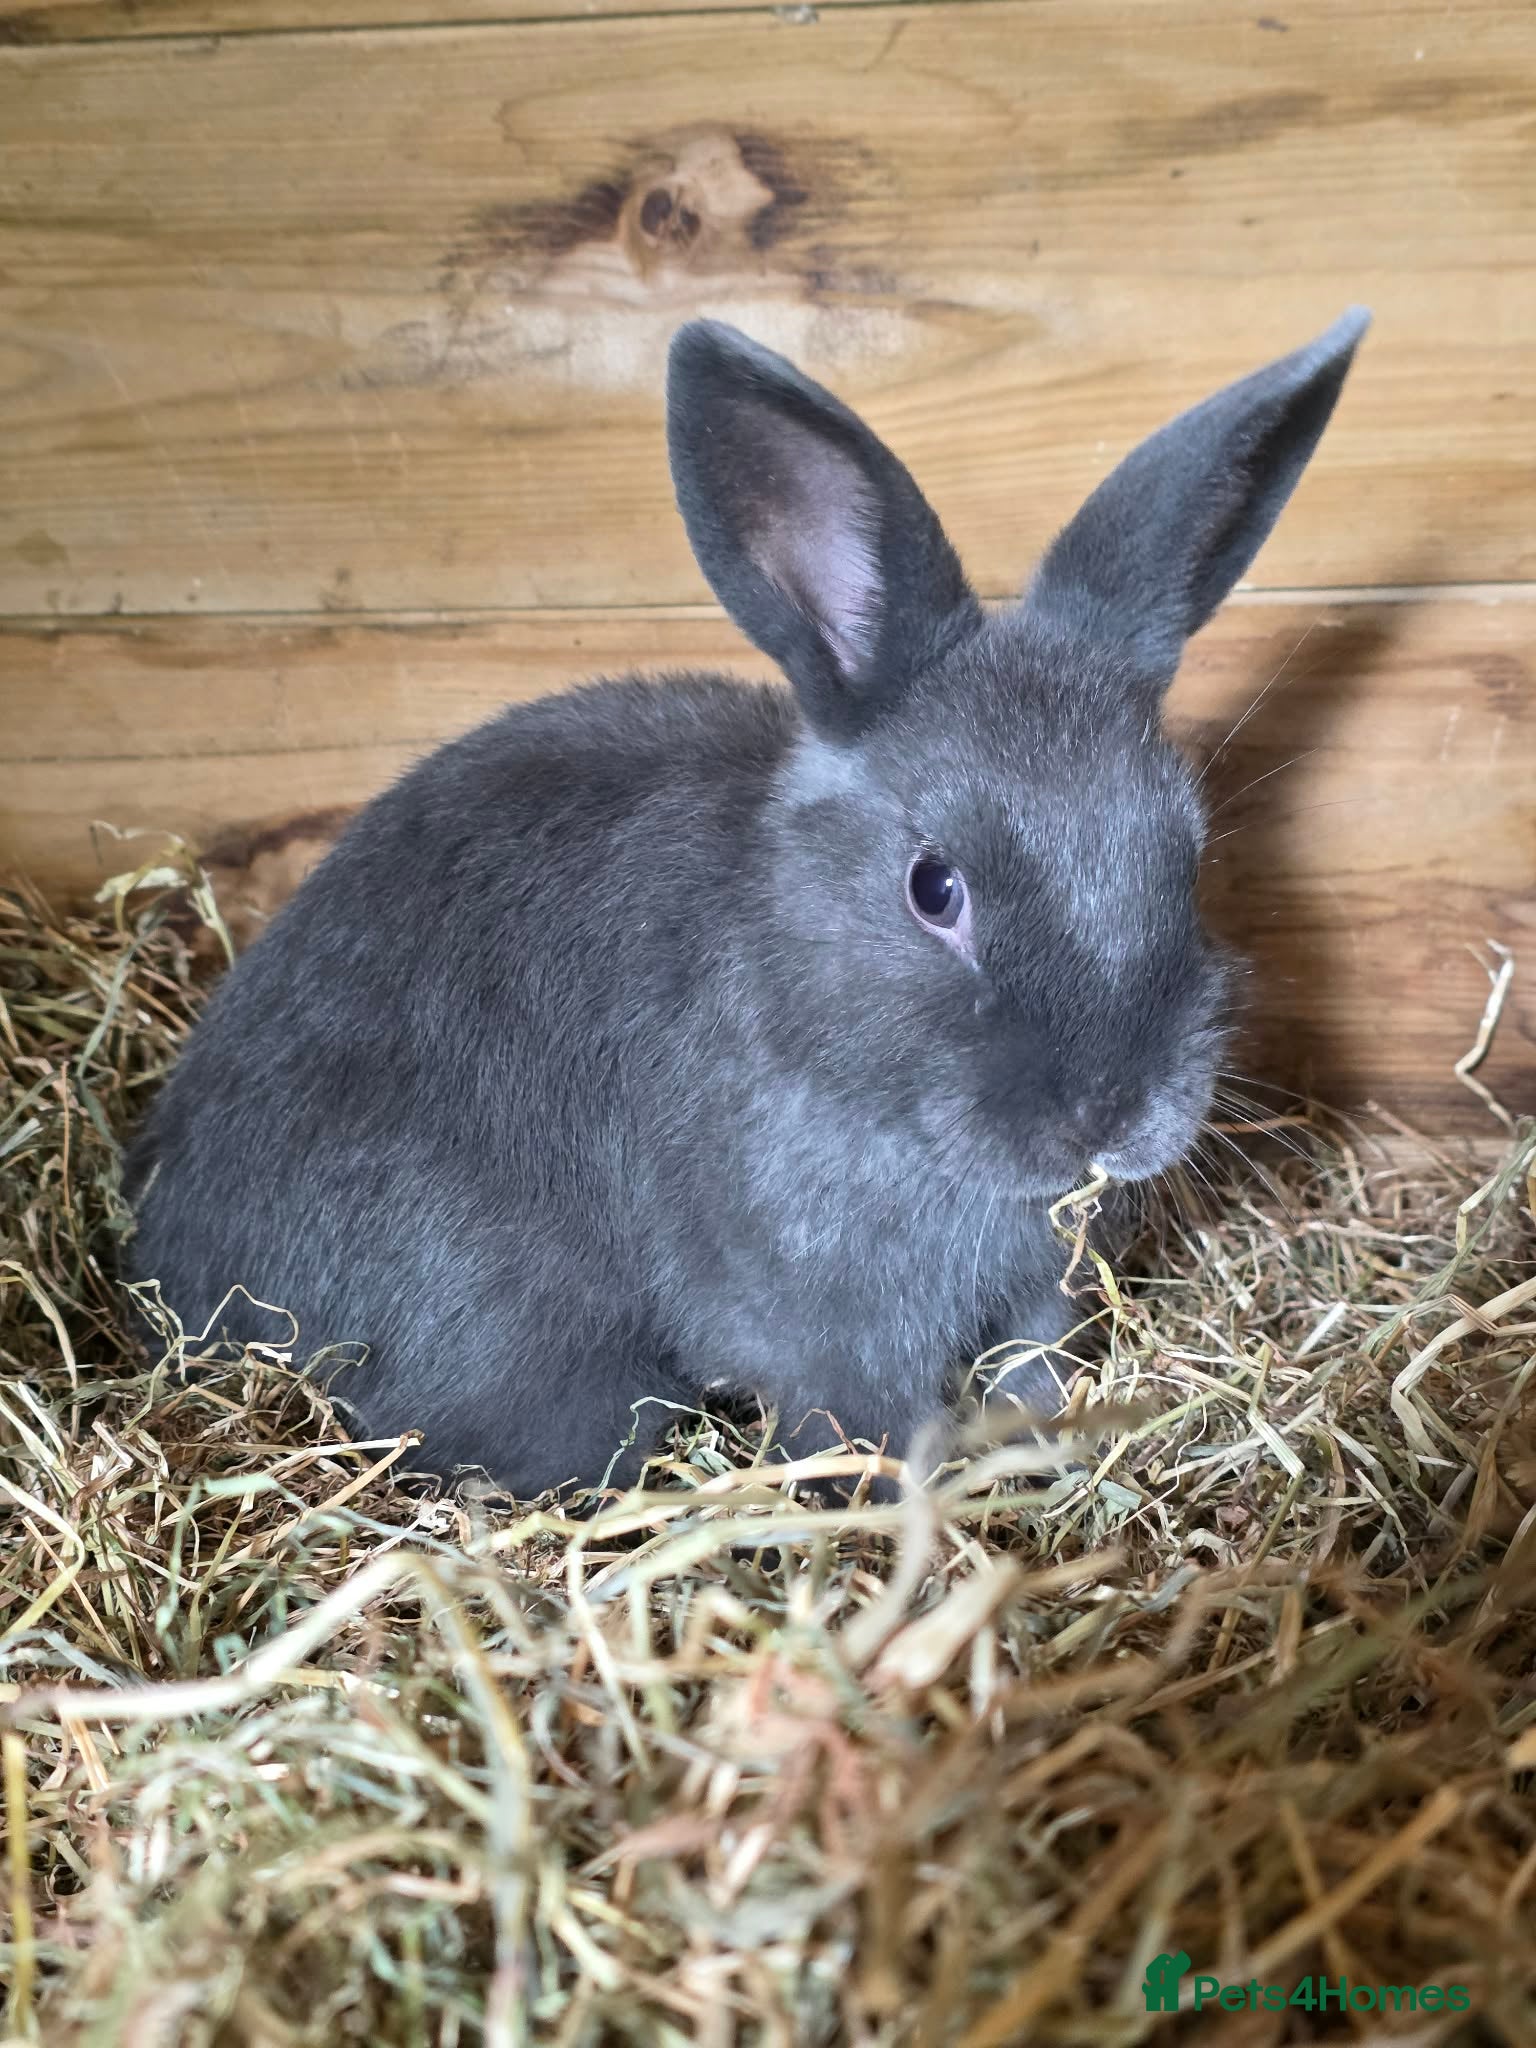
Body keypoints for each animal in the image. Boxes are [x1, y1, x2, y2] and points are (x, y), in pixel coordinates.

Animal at [123, 307, 1369, 1499]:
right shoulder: (831, 1335)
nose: (1114, 1114)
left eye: (1187, 855)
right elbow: (861, 1428)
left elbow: (1035, 1369)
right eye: (934, 888)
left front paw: (1040, 1446)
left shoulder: (1037, 1293)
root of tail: (157, 1254)